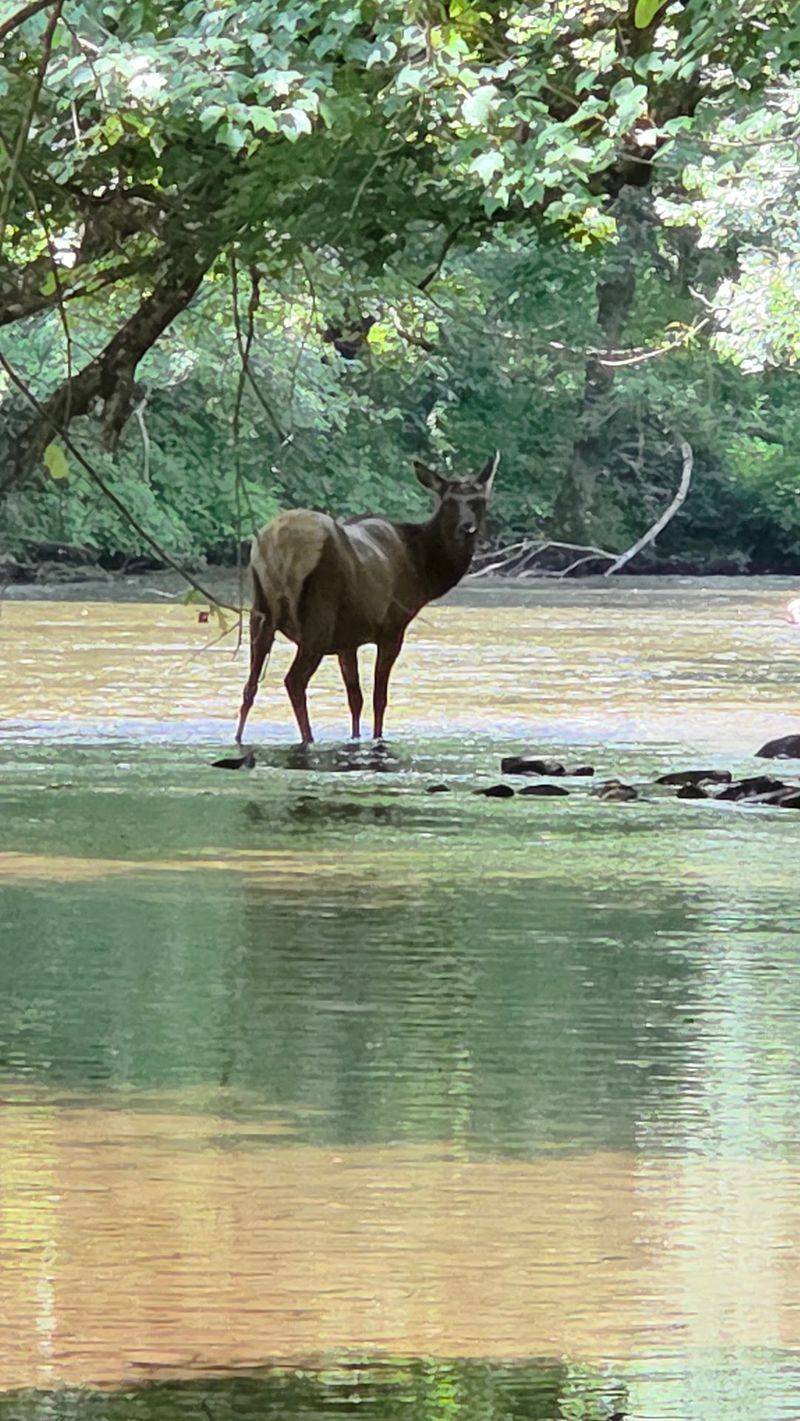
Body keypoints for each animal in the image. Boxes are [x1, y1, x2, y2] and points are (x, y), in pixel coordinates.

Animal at [234, 452, 499, 745]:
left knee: (249, 685)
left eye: (479, 501)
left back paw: (239, 738)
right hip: (318, 617)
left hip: (260, 613)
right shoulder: (392, 628)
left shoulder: (347, 640)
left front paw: (355, 737)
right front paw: (377, 738)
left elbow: (355, 698)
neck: (422, 575)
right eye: (448, 502)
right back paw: (308, 739)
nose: (467, 528)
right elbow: (378, 698)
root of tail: (279, 547)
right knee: (294, 681)